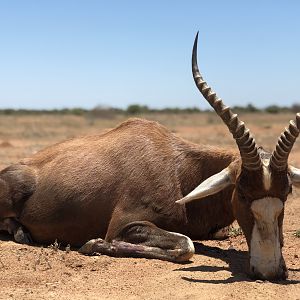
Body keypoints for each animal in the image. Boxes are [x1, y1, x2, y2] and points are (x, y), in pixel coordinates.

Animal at [0, 34, 300, 280]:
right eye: (242, 193)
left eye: (286, 193)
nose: (270, 270)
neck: (178, 168)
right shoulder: (125, 225)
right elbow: (186, 246)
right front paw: (93, 244)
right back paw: (22, 233)